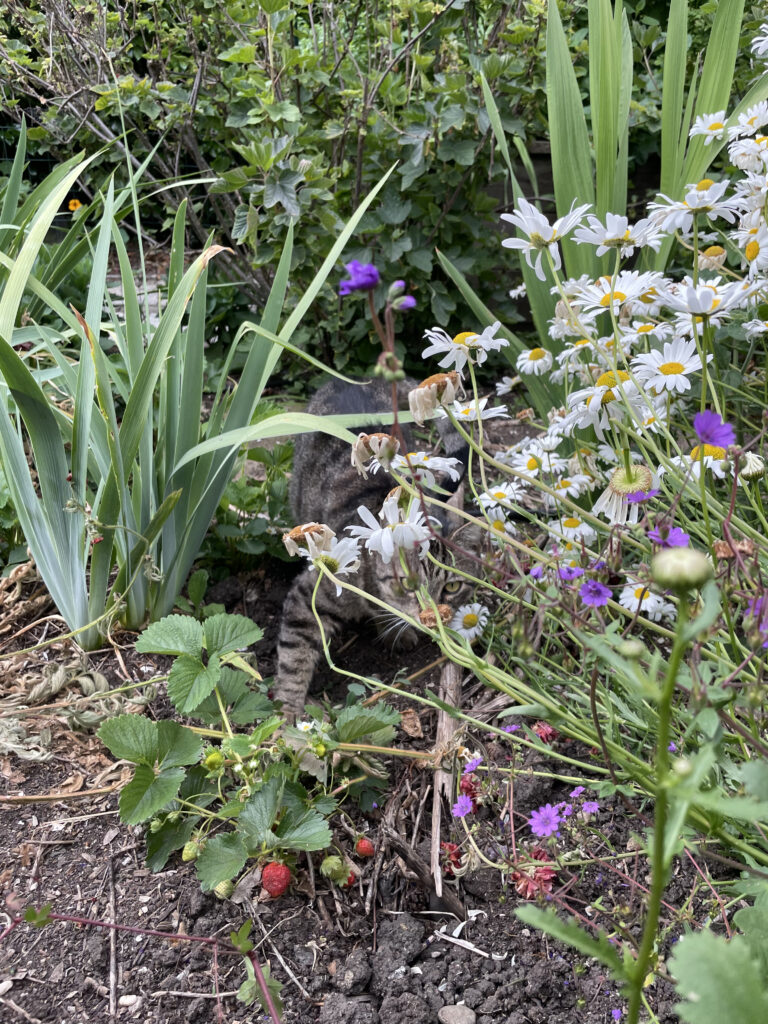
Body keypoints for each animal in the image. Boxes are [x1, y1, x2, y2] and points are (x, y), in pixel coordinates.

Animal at [274, 378, 481, 720]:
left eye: (451, 587)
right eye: (408, 584)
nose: (431, 616)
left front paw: (394, 628)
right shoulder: (307, 597)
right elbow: (294, 658)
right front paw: (288, 711)